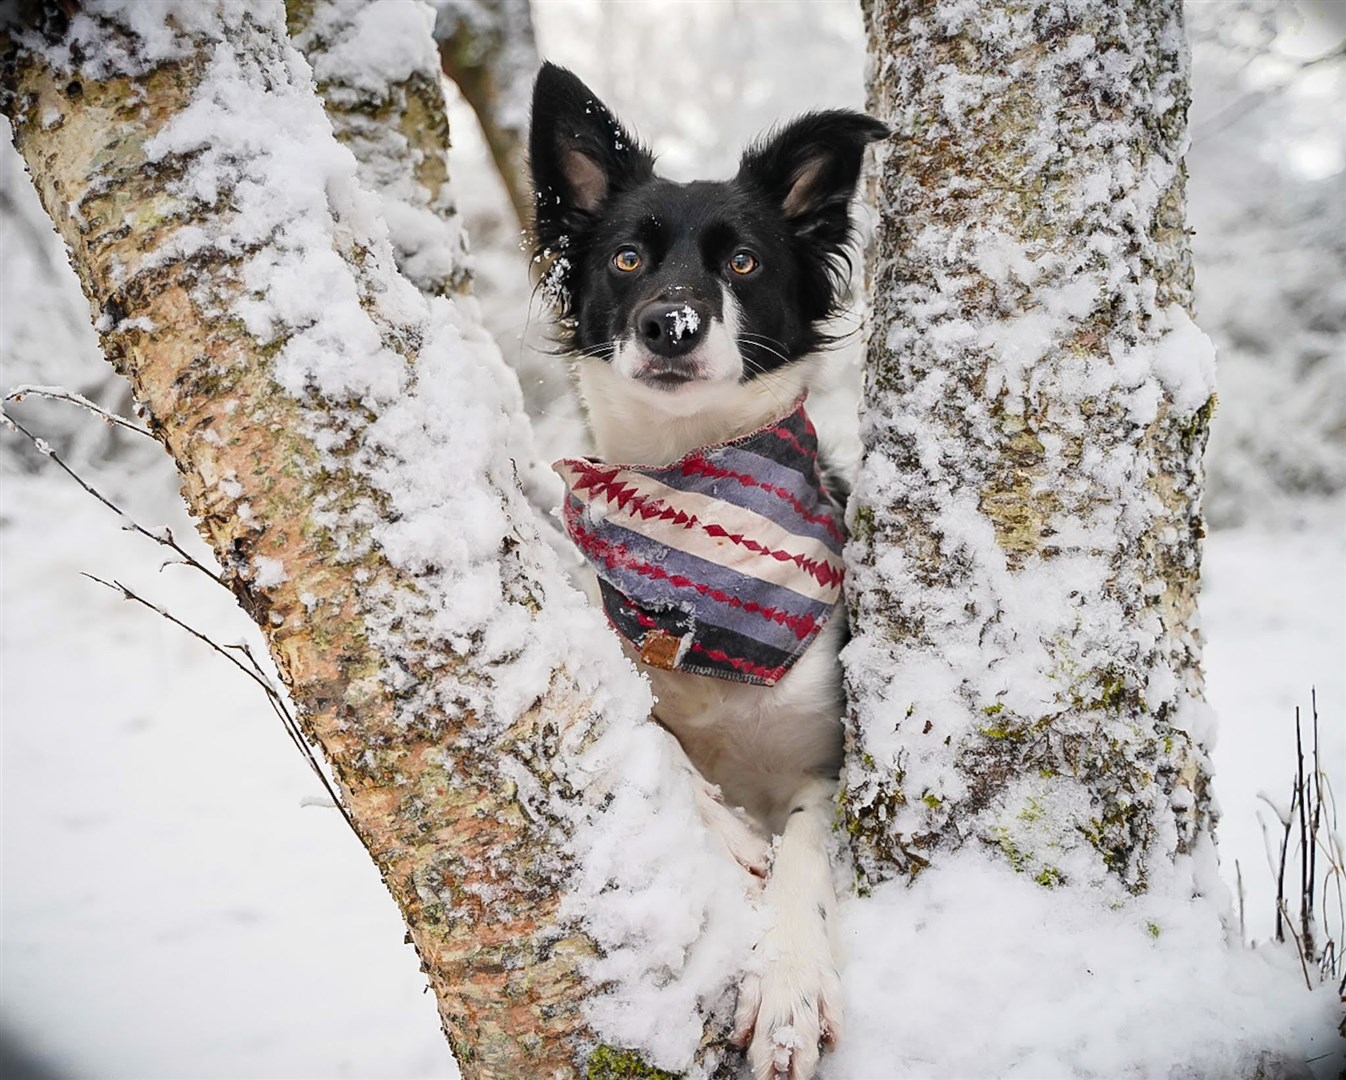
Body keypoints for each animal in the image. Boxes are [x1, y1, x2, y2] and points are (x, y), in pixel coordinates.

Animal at [530, 65, 888, 1077]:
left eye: (744, 265)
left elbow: (802, 858)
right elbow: (657, 742)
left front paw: (790, 991)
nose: (672, 324)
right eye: (624, 260)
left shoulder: (825, 758)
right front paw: (730, 831)